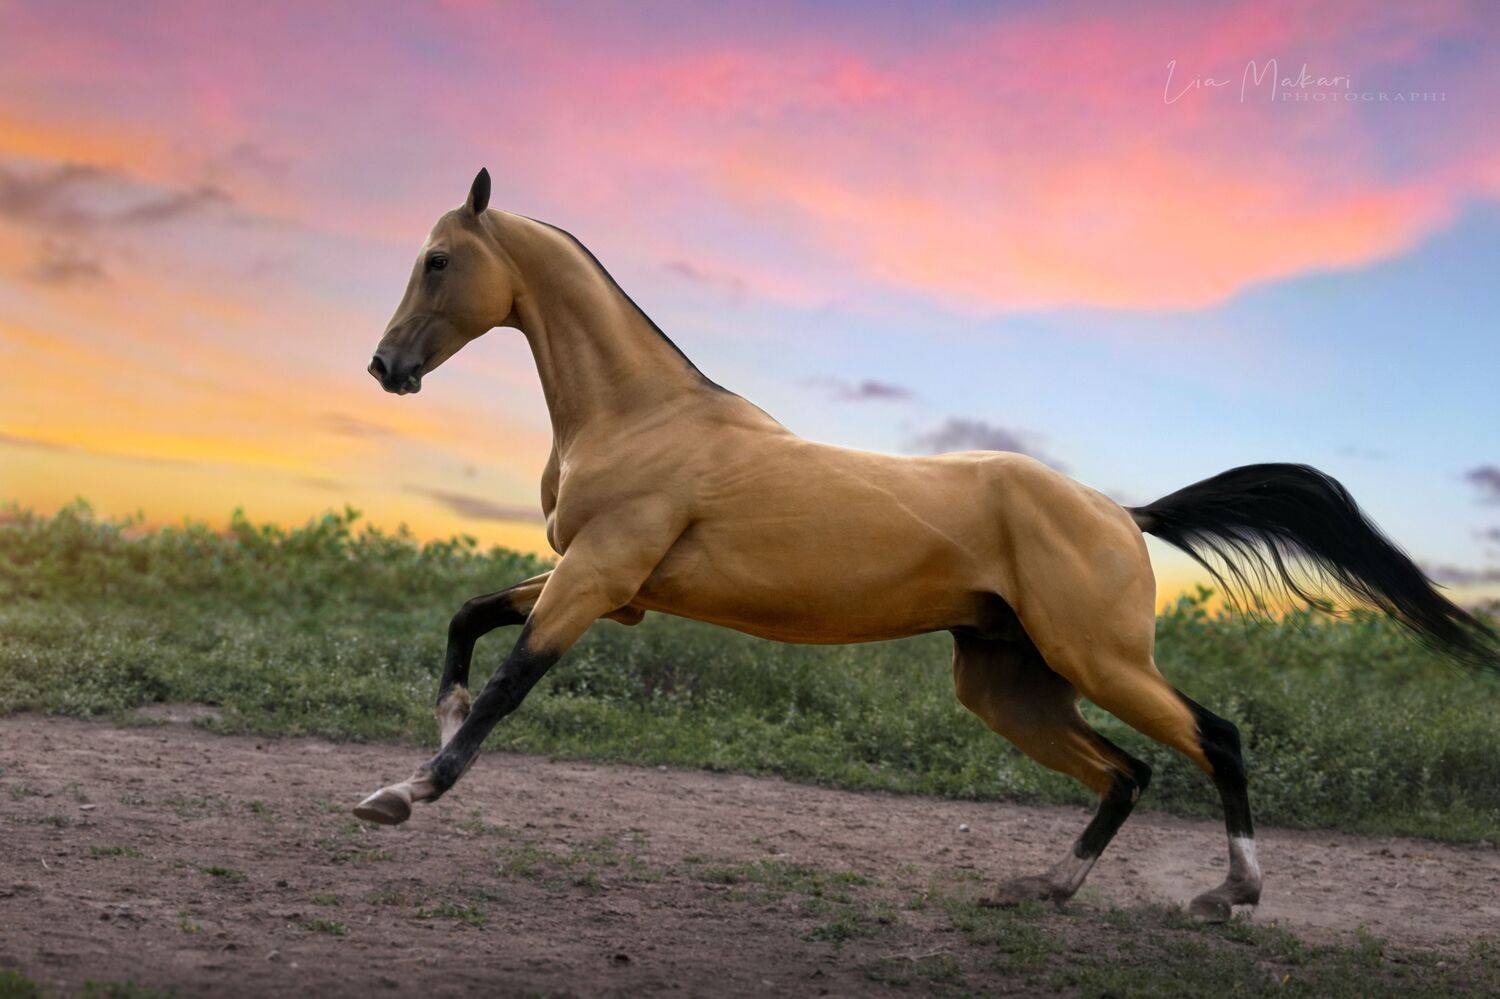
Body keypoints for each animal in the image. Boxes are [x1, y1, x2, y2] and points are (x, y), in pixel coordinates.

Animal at [354, 168, 1497, 920]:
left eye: (438, 260)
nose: (384, 368)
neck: (641, 415)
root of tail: (1124, 514)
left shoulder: (596, 578)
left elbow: (510, 686)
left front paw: (403, 795)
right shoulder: (600, 580)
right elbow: (468, 620)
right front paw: (431, 730)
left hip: (1100, 660)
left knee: (1213, 737)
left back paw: (1230, 895)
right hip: (1007, 682)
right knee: (1127, 771)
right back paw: (1047, 885)